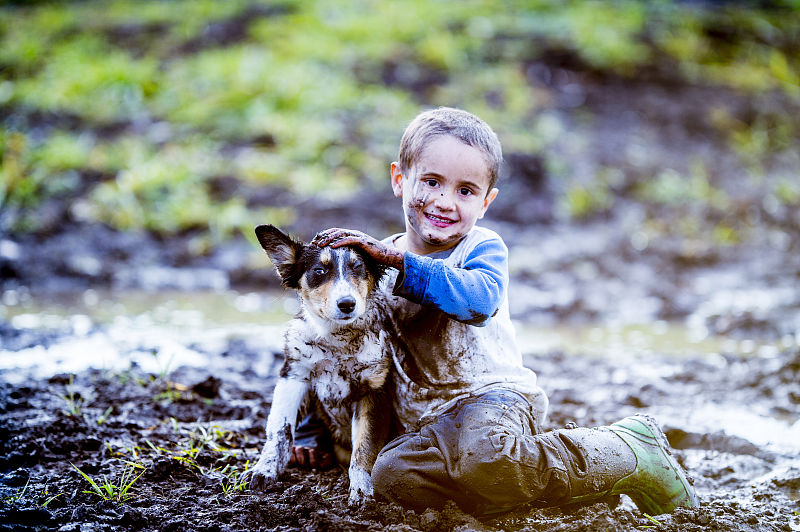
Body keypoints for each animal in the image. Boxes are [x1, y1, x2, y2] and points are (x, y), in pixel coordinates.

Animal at [248, 223, 396, 502]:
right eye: (319, 271)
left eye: (357, 268)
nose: (347, 304)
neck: (336, 339)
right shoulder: (293, 375)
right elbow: (279, 430)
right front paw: (265, 470)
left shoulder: (373, 391)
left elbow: (364, 446)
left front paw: (361, 489)